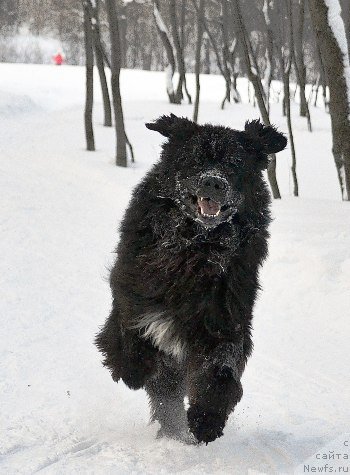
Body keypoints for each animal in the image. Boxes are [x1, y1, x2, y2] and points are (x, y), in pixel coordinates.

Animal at [95, 115, 288, 446]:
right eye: (195, 159)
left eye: (235, 164)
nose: (213, 182)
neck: (196, 248)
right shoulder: (131, 293)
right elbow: (127, 335)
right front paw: (133, 370)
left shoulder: (225, 319)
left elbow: (221, 369)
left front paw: (206, 421)